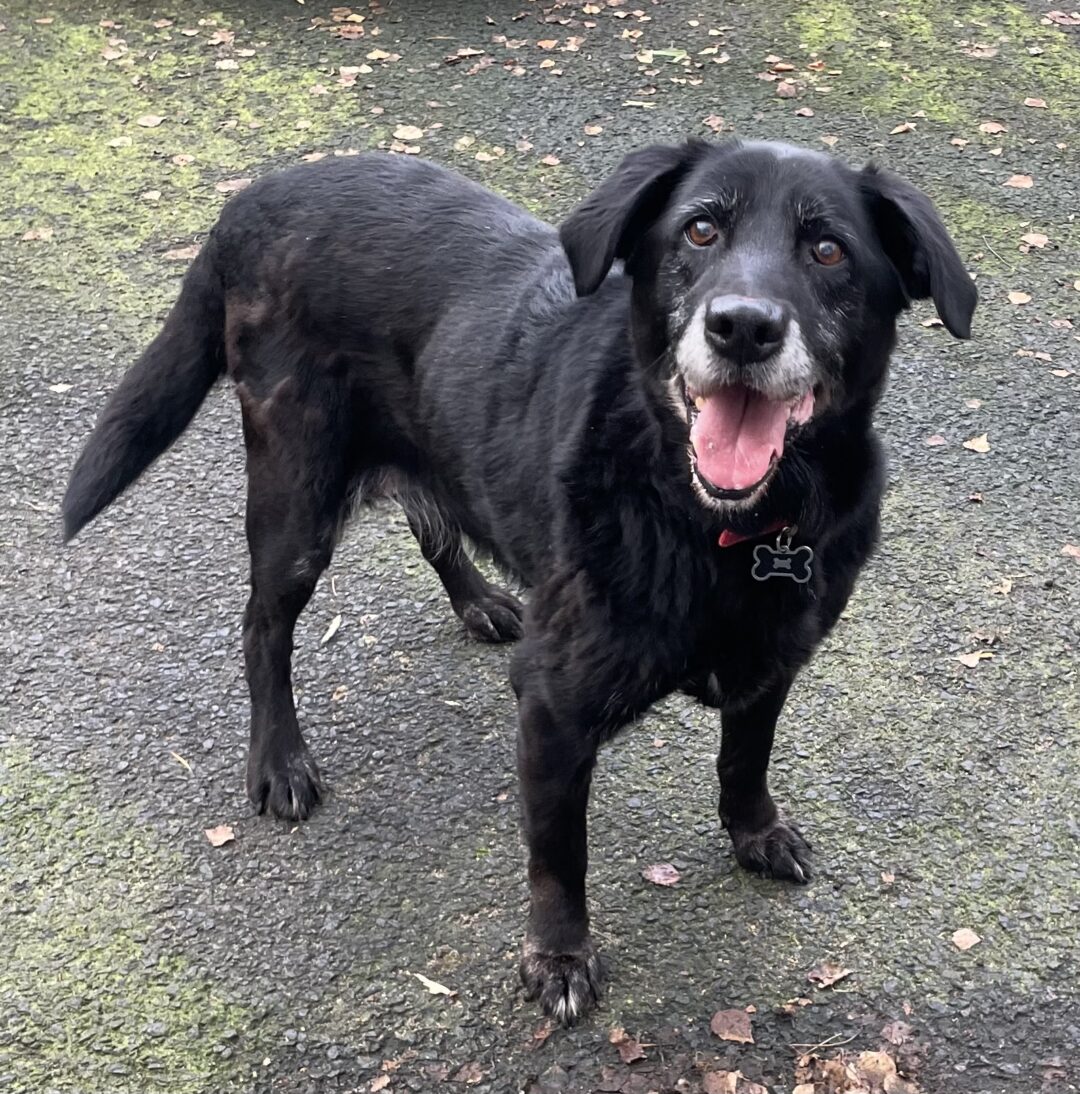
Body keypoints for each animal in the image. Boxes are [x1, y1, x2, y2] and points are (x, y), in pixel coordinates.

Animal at [67, 138, 980, 1023]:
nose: (743, 328)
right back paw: (280, 761)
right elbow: (558, 854)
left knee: (431, 516)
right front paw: (560, 958)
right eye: (699, 231)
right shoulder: (552, 706)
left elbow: (744, 759)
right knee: (263, 624)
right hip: (296, 498)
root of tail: (253, 198)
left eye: (829, 250)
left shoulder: (774, 661)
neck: (724, 523)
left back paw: (478, 600)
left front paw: (755, 832)